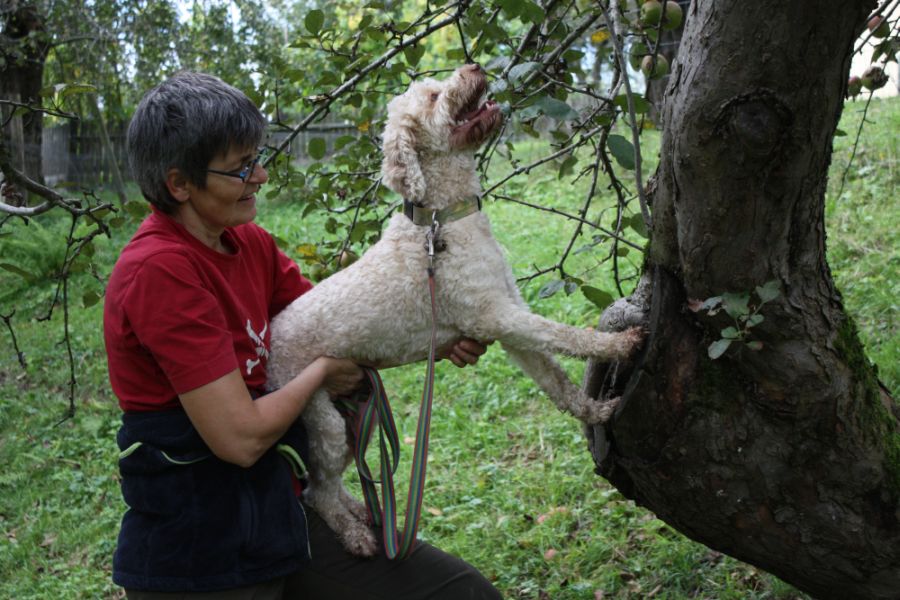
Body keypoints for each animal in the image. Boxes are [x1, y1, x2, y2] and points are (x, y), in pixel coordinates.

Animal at [268, 63, 640, 556]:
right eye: (431, 97)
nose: (474, 67)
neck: (443, 221)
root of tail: (265, 345)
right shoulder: (493, 315)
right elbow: (566, 335)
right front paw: (621, 344)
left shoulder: (509, 318)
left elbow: (554, 379)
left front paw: (593, 412)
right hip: (317, 416)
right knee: (317, 490)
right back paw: (355, 535)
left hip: (353, 417)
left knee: (327, 483)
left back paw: (360, 510)